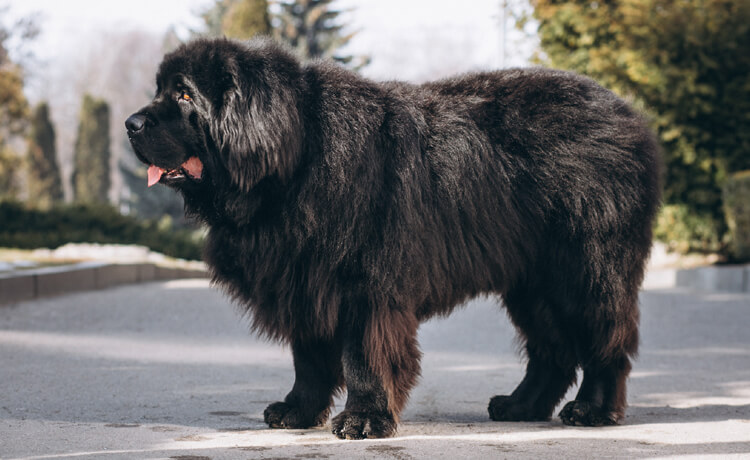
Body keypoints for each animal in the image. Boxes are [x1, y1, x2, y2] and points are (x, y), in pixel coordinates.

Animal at [128, 37, 664, 440]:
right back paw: (520, 405)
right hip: (532, 280)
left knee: (603, 339)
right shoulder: (304, 279)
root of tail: (630, 116)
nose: (131, 124)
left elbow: (362, 355)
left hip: (585, 268)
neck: (295, 159)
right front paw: (298, 411)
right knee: (551, 349)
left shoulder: (363, 283)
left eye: (184, 96)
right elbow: (310, 358)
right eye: (160, 90)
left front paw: (364, 419)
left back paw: (593, 410)